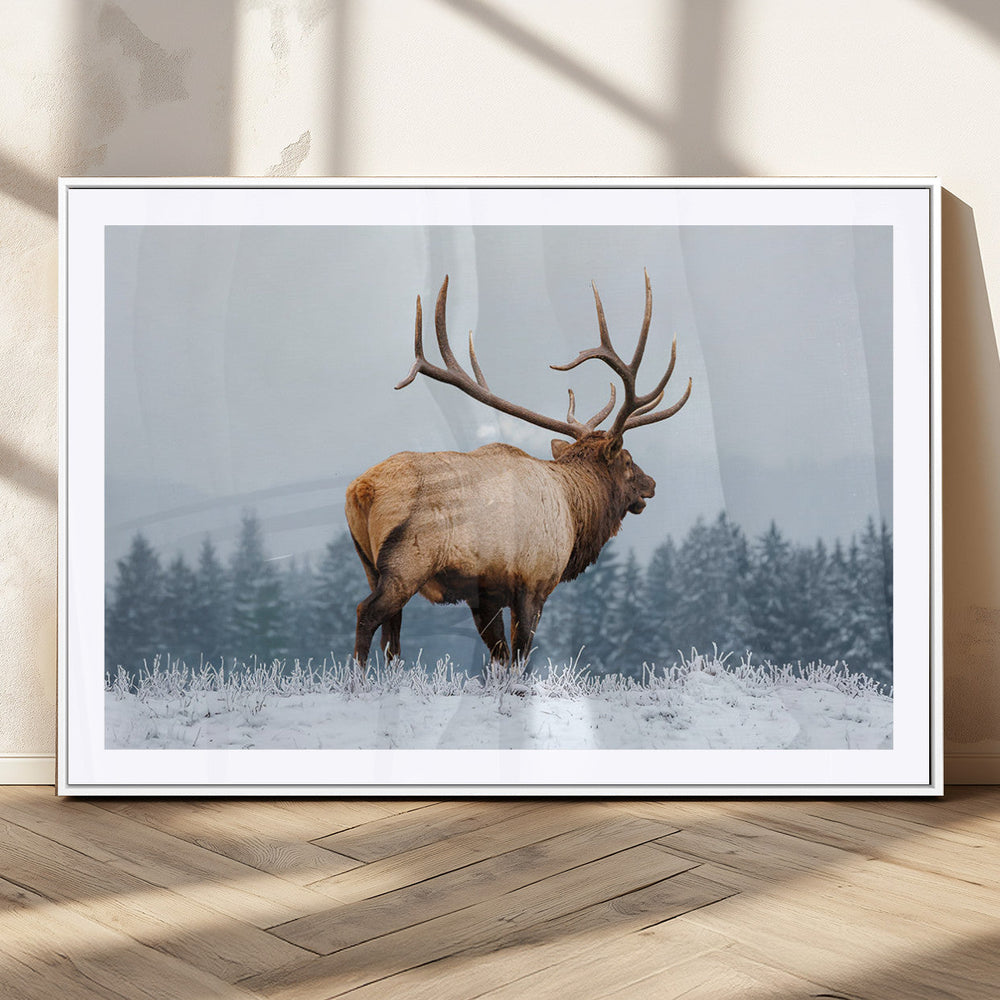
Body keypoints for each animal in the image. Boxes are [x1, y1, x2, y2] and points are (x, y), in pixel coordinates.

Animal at [345, 270, 692, 668]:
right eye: (628, 460)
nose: (652, 484)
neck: (574, 513)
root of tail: (361, 490)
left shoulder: (485, 595)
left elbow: (499, 656)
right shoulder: (533, 581)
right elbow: (521, 656)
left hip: (368, 564)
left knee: (392, 635)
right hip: (406, 562)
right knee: (367, 614)